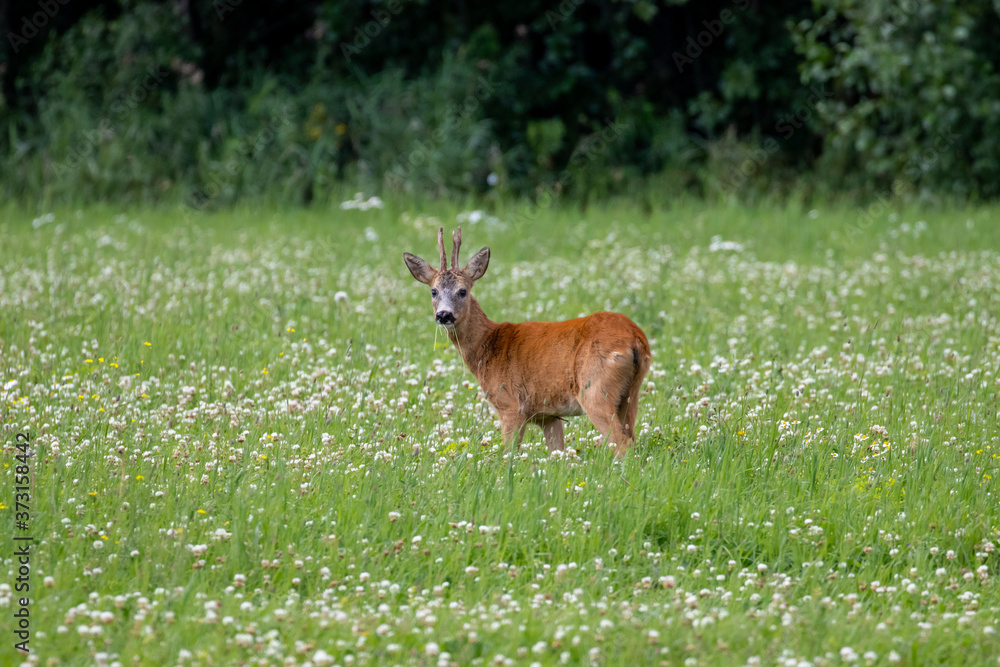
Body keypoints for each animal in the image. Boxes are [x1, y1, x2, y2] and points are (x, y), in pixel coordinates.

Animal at [403, 227, 651, 457]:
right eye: (433, 291)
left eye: (462, 291)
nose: (444, 315)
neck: (487, 346)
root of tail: (636, 338)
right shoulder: (548, 415)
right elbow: (557, 453)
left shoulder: (511, 406)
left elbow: (508, 455)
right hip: (630, 394)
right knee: (631, 437)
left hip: (595, 389)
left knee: (622, 443)